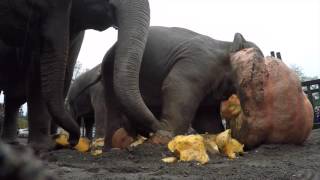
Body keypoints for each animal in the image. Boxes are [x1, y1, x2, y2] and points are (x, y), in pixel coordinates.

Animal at [101, 25, 262, 146]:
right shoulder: (199, 64)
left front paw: (214, 136)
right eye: (255, 68)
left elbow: (206, 118)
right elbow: (176, 85)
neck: (226, 45)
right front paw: (164, 138)